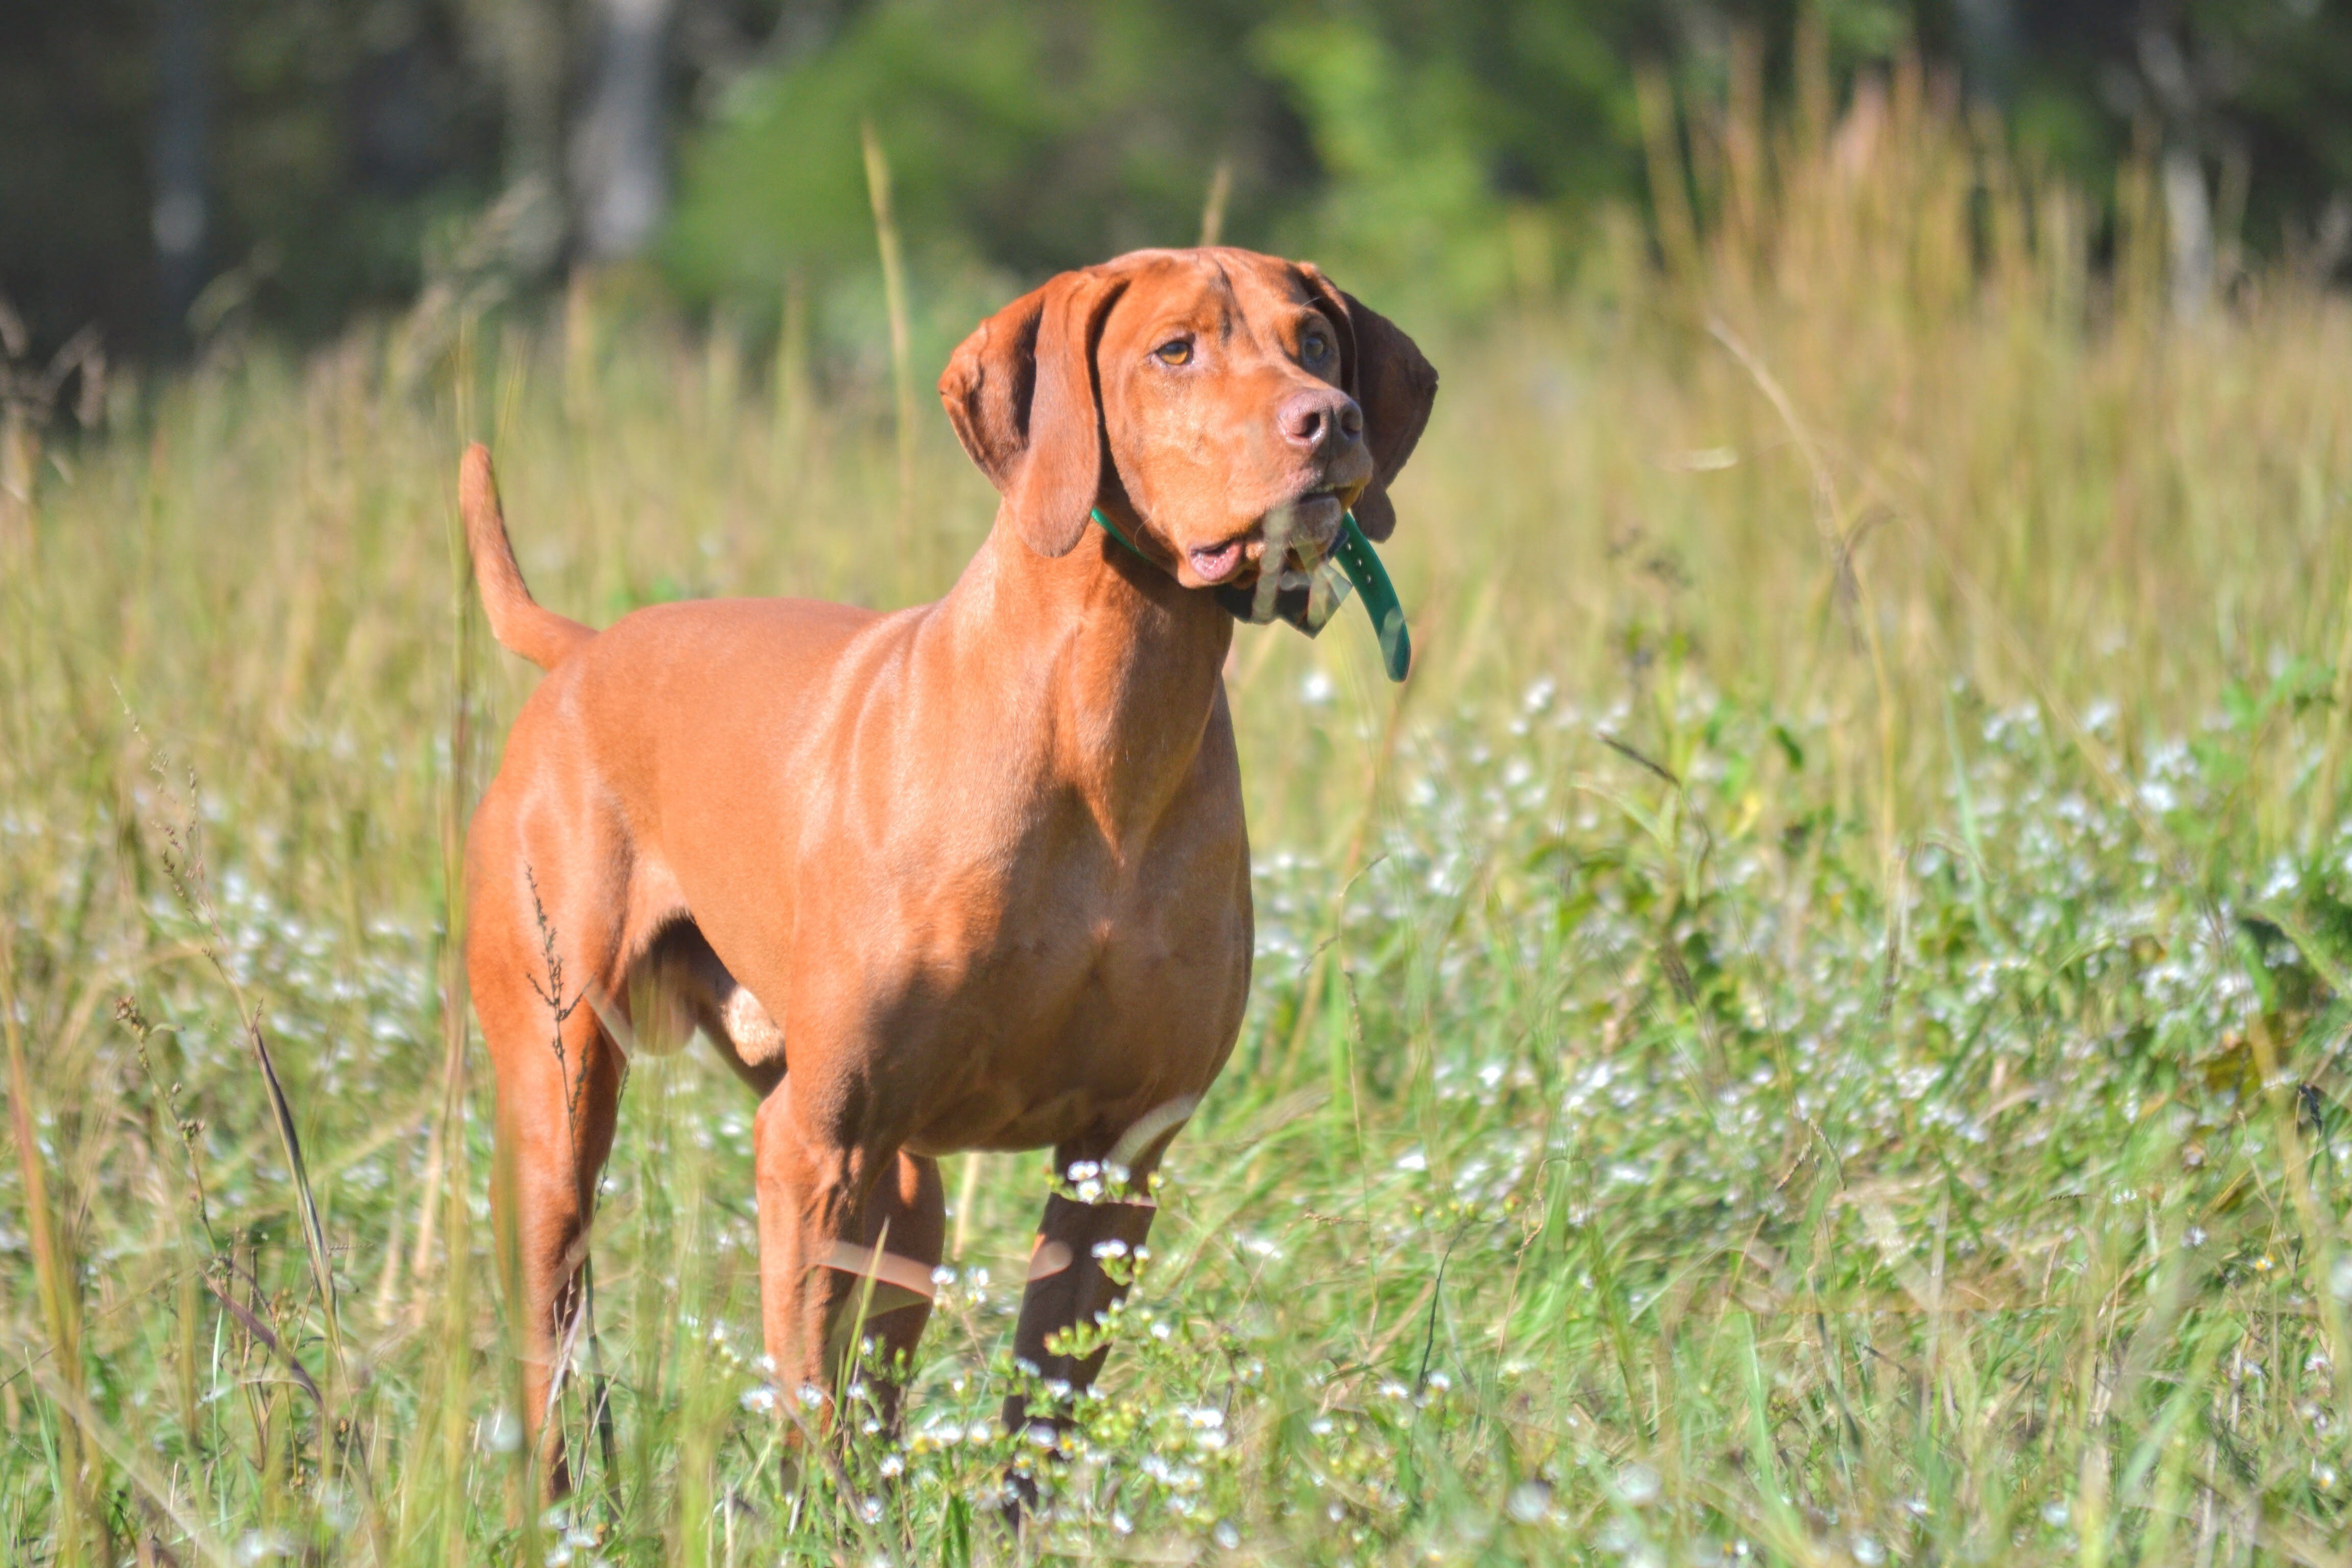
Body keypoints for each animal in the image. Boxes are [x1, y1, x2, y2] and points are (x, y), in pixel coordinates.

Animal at [458, 246, 1430, 1476]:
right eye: (1175, 350)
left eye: (1315, 343)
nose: (1332, 420)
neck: (1102, 733)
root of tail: (584, 650)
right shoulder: (814, 1143)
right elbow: (808, 1417)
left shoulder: (1116, 1160)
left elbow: (1039, 1431)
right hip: (562, 1105)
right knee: (556, 1342)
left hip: (898, 1185)